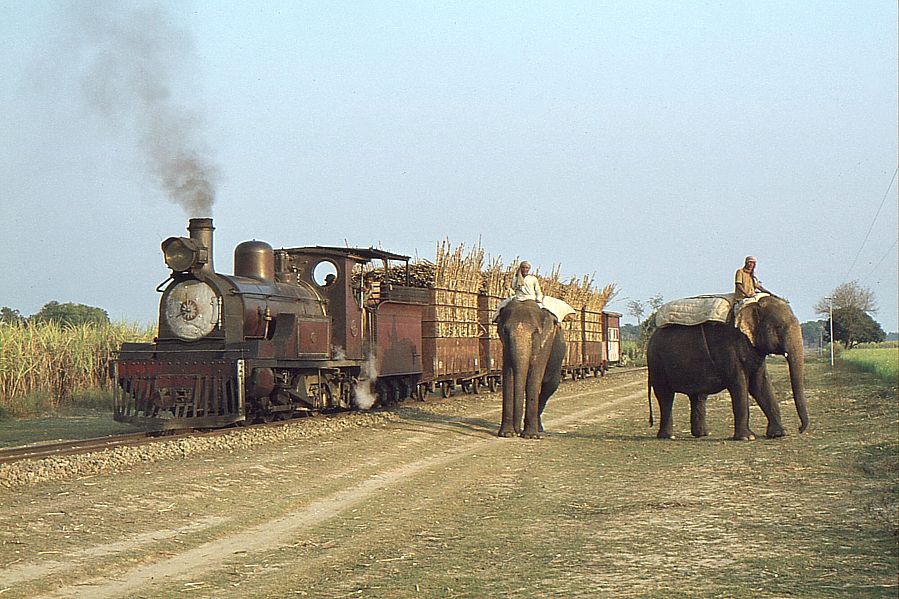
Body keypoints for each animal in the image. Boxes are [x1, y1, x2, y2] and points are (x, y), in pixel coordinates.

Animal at [496, 299, 566, 439]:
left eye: (535, 333)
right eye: (505, 331)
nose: (517, 431)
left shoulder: (545, 342)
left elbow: (534, 377)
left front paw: (530, 436)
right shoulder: (505, 347)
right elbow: (508, 376)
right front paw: (506, 434)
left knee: (550, 386)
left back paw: (538, 430)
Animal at [647, 295, 809, 441]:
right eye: (778, 327)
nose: (800, 429)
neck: (752, 304)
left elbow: (760, 385)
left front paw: (779, 434)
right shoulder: (728, 347)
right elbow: (739, 384)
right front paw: (747, 438)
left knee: (698, 396)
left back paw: (703, 434)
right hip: (656, 362)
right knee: (665, 395)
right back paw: (669, 436)